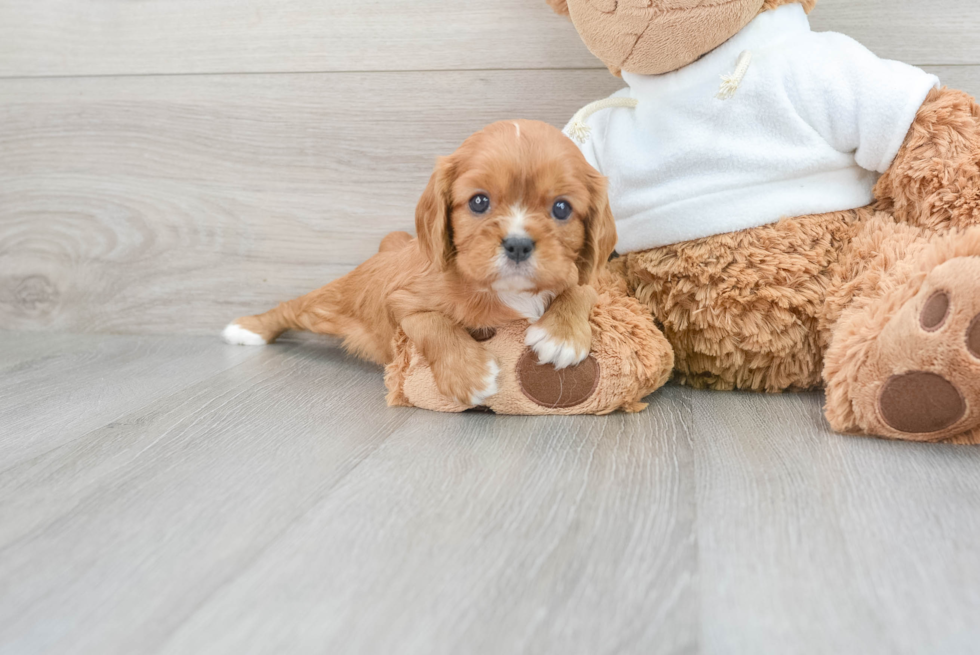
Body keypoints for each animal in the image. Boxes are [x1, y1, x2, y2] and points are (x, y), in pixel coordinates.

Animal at [226, 118, 616, 404]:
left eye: (561, 208)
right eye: (478, 202)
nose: (518, 245)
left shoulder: (582, 275)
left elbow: (582, 289)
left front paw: (562, 335)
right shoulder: (400, 300)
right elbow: (432, 323)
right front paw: (469, 375)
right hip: (330, 304)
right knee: (292, 308)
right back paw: (248, 329)